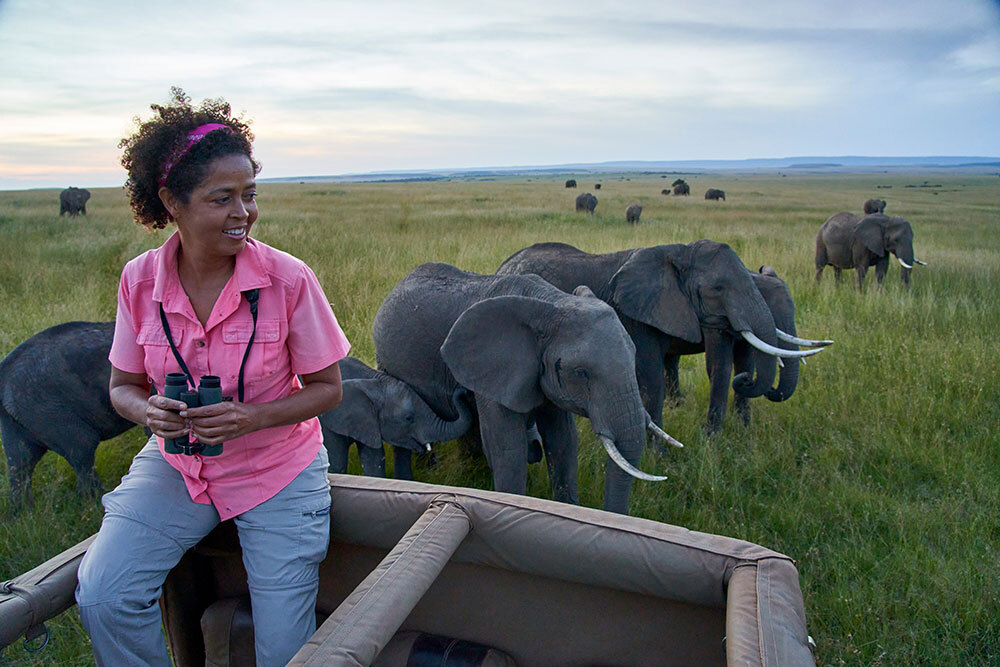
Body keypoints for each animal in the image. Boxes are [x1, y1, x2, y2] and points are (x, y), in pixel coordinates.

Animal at [0, 320, 135, 508]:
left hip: (21, 415)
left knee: (20, 464)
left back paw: (24, 512)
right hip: (46, 409)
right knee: (82, 448)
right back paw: (95, 504)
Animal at [320, 358, 476, 478]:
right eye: (409, 418)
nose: (463, 390)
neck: (374, 382)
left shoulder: (369, 422)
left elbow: (374, 459)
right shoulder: (328, 422)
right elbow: (337, 463)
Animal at [376, 264, 680, 516]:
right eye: (581, 373)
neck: (552, 303)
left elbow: (563, 441)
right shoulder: (494, 367)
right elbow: (508, 449)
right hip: (386, 362)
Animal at [496, 243, 824, 436]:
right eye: (717, 288)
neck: (678, 253)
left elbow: (740, 360)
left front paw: (741, 433)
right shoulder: (634, 312)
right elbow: (680, 372)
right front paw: (704, 442)